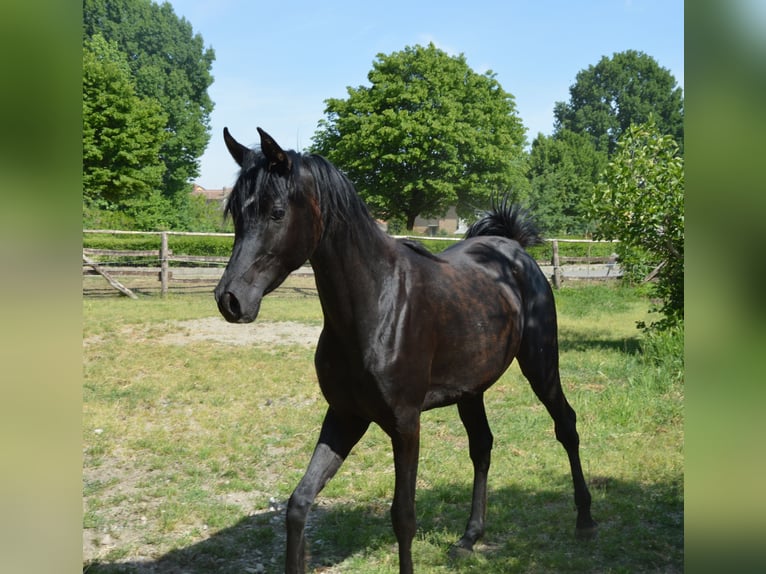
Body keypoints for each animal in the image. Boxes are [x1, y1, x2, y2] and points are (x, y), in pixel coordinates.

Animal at [214, 127, 596, 573]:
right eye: (237, 214)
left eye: (276, 212)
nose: (230, 300)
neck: (378, 303)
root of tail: (513, 248)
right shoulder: (345, 416)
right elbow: (298, 504)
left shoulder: (405, 424)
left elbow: (404, 516)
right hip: (471, 390)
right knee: (482, 446)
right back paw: (469, 537)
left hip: (540, 364)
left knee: (566, 425)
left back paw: (585, 521)